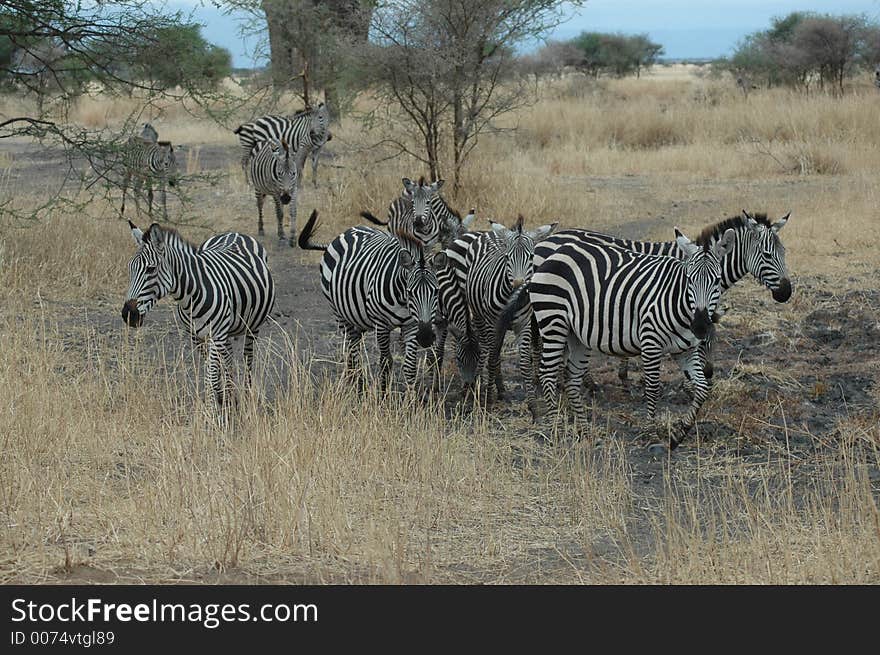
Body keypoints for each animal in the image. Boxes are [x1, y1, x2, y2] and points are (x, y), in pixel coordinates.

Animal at [121, 220, 276, 416]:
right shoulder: (196, 336)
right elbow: (212, 371)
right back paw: (230, 395)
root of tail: (234, 233)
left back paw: (247, 397)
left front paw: (212, 412)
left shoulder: (216, 335)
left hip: (251, 327)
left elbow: (211, 374)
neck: (190, 296)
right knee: (228, 357)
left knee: (248, 358)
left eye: (150, 269)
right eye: (130, 268)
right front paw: (220, 400)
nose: (128, 314)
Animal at [296, 210, 446, 390]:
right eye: (410, 292)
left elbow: (410, 367)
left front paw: (411, 397)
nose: (426, 338)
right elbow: (386, 362)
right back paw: (358, 386)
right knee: (352, 351)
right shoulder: (381, 325)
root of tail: (346, 232)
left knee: (354, 348)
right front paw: (383, 394)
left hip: (357, 315)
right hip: (340, 314)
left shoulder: (411, 325)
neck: (403, 302)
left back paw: (354, 381)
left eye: (436, 292)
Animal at [446, 215, 556, 402]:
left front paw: (531, 400)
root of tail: (489, 233)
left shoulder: (524, 323)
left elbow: (524, 360)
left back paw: (500, 387)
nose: (519, 287)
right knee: (484, 346)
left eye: (531, 256)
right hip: (478, 314)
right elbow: (492, 356)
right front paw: (489, 396)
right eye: (506, 257)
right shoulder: (493, 323)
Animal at [502, 227, 736, 452]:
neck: (677, 301)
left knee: (572, 378)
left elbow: (703, 389)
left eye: (717, 281)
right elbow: (652, 388)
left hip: (576, 335)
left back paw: (585, 433)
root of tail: (551, 256)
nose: (700, 326)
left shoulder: (685, 351)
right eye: (689, 279)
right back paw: (556, 431)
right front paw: (652, 437)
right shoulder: (650, 343)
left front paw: (678, 435)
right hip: (553, 321)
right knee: (548, 374)